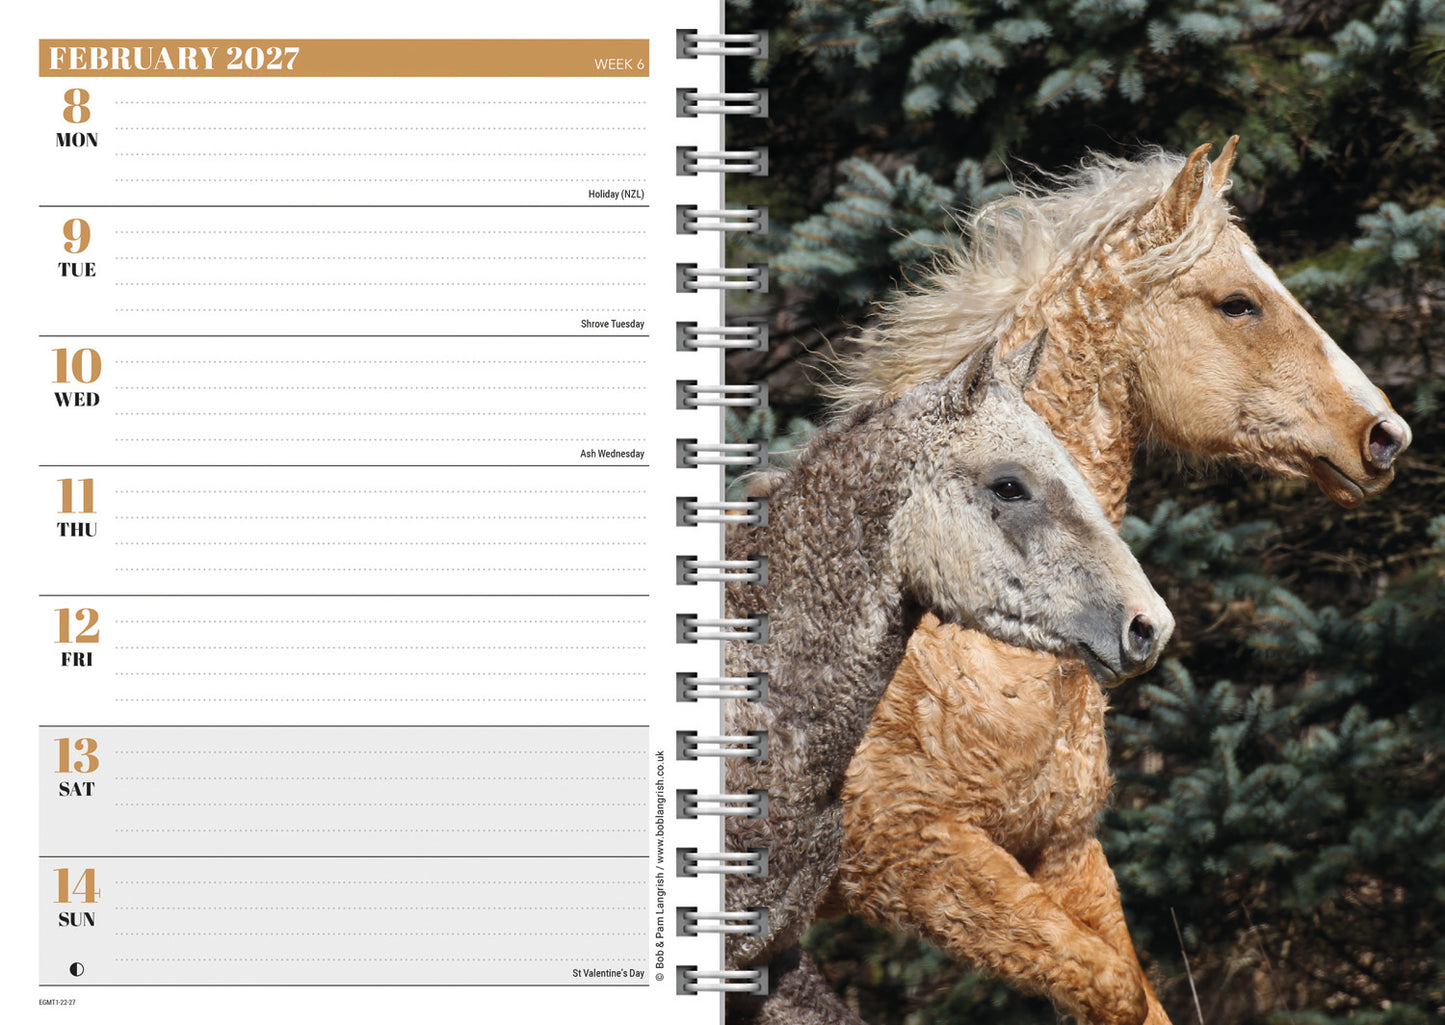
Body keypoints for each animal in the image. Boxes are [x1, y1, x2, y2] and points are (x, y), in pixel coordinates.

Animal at [808, 138, 1412, 1025]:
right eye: (1238, 304)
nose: (1383, 435)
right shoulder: (911, 856)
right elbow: (1110, 987)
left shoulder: (1062, 847)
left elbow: (1133, 993)